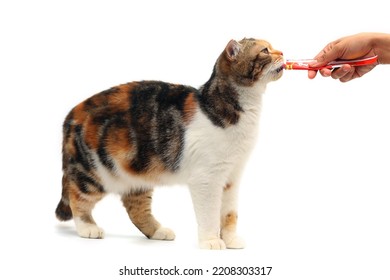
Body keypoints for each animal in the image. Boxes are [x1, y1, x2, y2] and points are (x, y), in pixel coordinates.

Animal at [55, 37, 284, 249]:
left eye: (273, 47)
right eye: (265, 51)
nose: (282, 53)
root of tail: (71, 113)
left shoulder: (232, 176)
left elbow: (229, 214)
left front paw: (230, 240)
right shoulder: (207, 178)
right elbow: (210, 213)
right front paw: (211, 241)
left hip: (138, 172)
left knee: (135, 207)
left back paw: (157, 231)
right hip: (93, 171)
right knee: (77, 197)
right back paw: (88, 227)